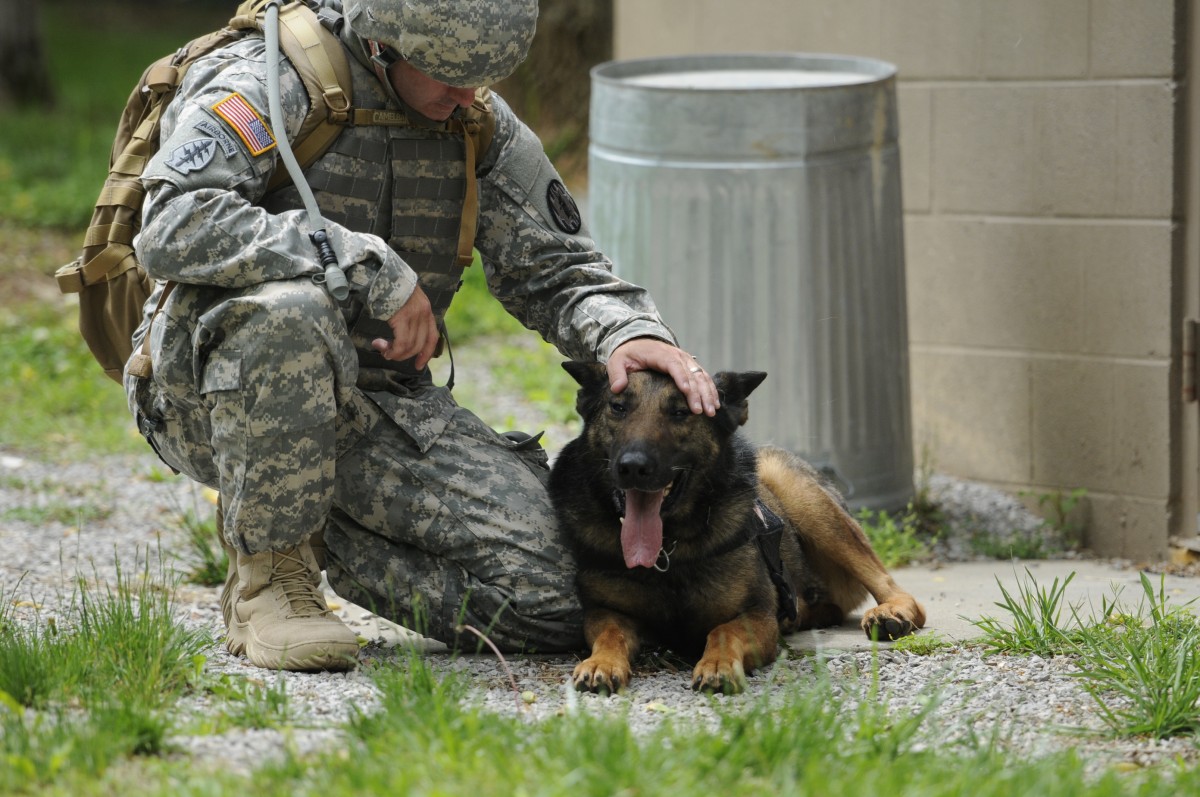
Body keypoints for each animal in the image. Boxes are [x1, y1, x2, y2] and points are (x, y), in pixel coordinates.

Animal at [547, 364, 926, 696]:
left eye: (681, 412)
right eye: (618, 407)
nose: (632, 467)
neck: (670, 548)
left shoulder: (757, 616)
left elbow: (722, 631)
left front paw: (717, 665)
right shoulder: (606, 612)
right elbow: (611, 635)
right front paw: (601, 663)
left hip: (800, 494)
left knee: (893, 587)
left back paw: (890, 612)